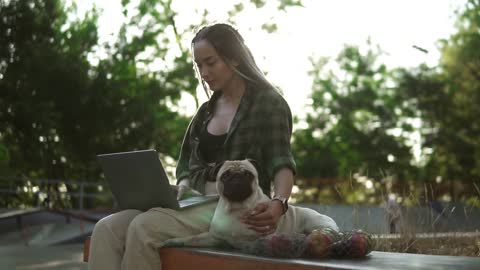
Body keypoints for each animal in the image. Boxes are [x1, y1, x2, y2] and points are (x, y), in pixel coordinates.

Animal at [163, 159, 340, 250]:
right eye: (225, 175)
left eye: (248, 174)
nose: (236, 177)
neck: (237, 207)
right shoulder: (212, 237)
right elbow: (192, 238)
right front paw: (174, 241)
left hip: (315, 223)